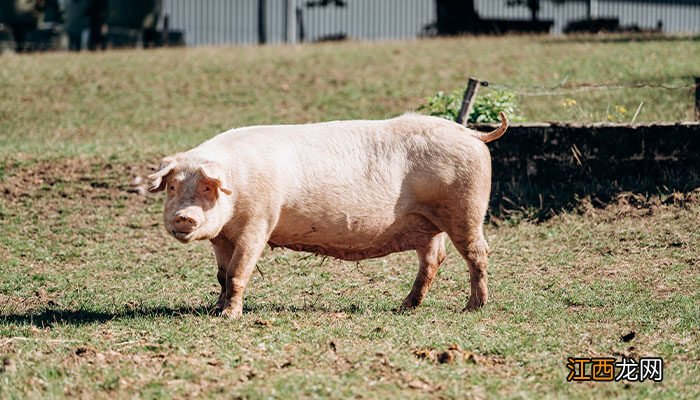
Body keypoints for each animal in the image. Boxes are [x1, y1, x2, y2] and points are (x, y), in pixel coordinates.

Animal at [148, 111, 508, 318]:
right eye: (172, 187)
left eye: (208, 187)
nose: (183, 217)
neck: (238, 184)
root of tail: (471, 133)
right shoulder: (222, 237)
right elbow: (222, 275)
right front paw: (214, 309)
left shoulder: (259, 223)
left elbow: (238, 272)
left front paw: (229, 317)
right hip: (427, 224)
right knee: (434, 259)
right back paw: (405, 307)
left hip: (465, 209)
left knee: (478, 253)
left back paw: (473, 307)